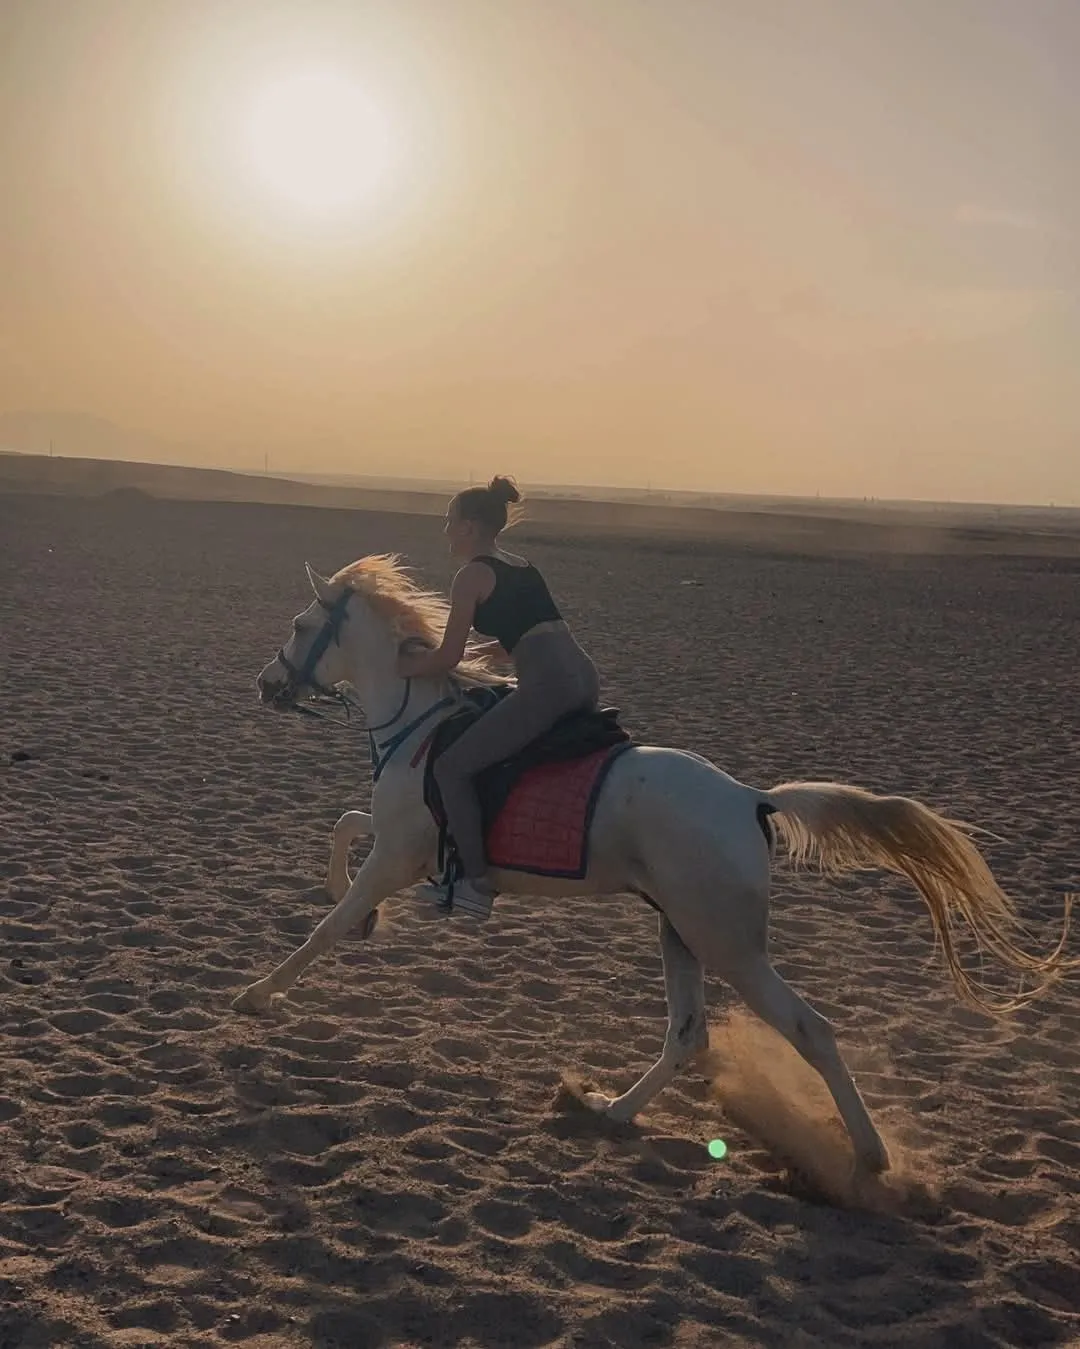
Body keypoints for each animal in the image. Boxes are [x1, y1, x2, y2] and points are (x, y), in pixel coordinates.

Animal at [233, 554, 1076, 1183]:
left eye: (303, 625)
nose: (268, 684)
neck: (419, 723)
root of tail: (752, 801)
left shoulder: (402, 853)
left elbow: (326, 925)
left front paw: (259, 992)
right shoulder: (400, 843)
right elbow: (344, 831)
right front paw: (355, 921)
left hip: (728, 944)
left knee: (810, 1028)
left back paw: (869, 1159)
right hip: (680, 932)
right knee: (689, 1034)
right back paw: (611, 1109)